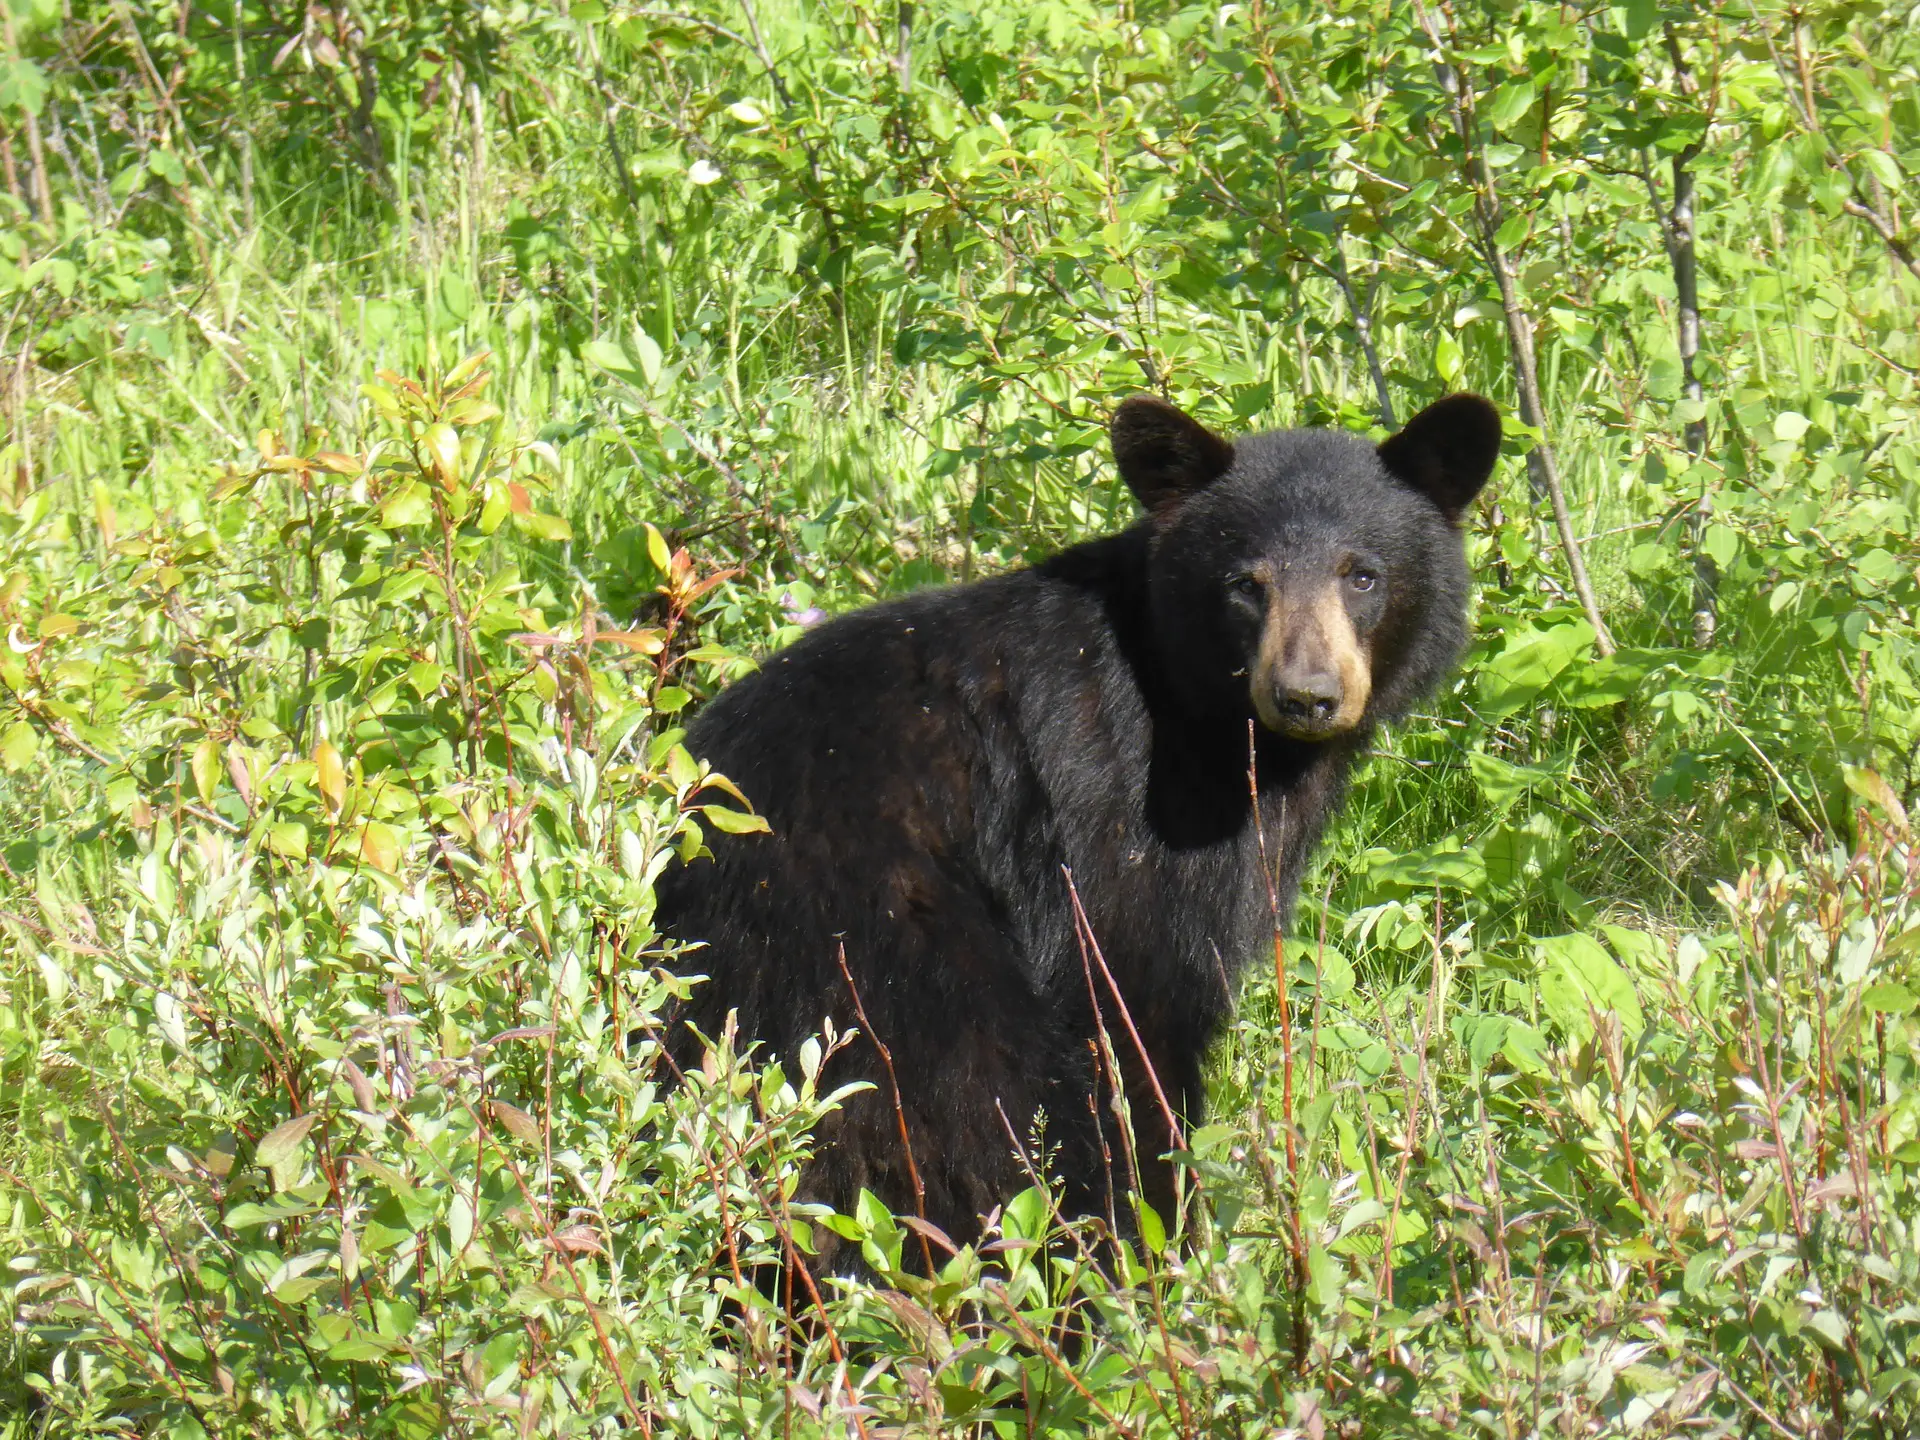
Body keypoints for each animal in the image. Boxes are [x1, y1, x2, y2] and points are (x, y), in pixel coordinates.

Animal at [652, 395, 1505, 1259]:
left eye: (1362, 574)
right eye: (1245, 583)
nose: (1306, 695)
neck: (1199, 715)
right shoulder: (1118, 817)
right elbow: (1137, 1005)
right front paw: (1166, 1235)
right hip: (881, 964)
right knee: (978, 1105)